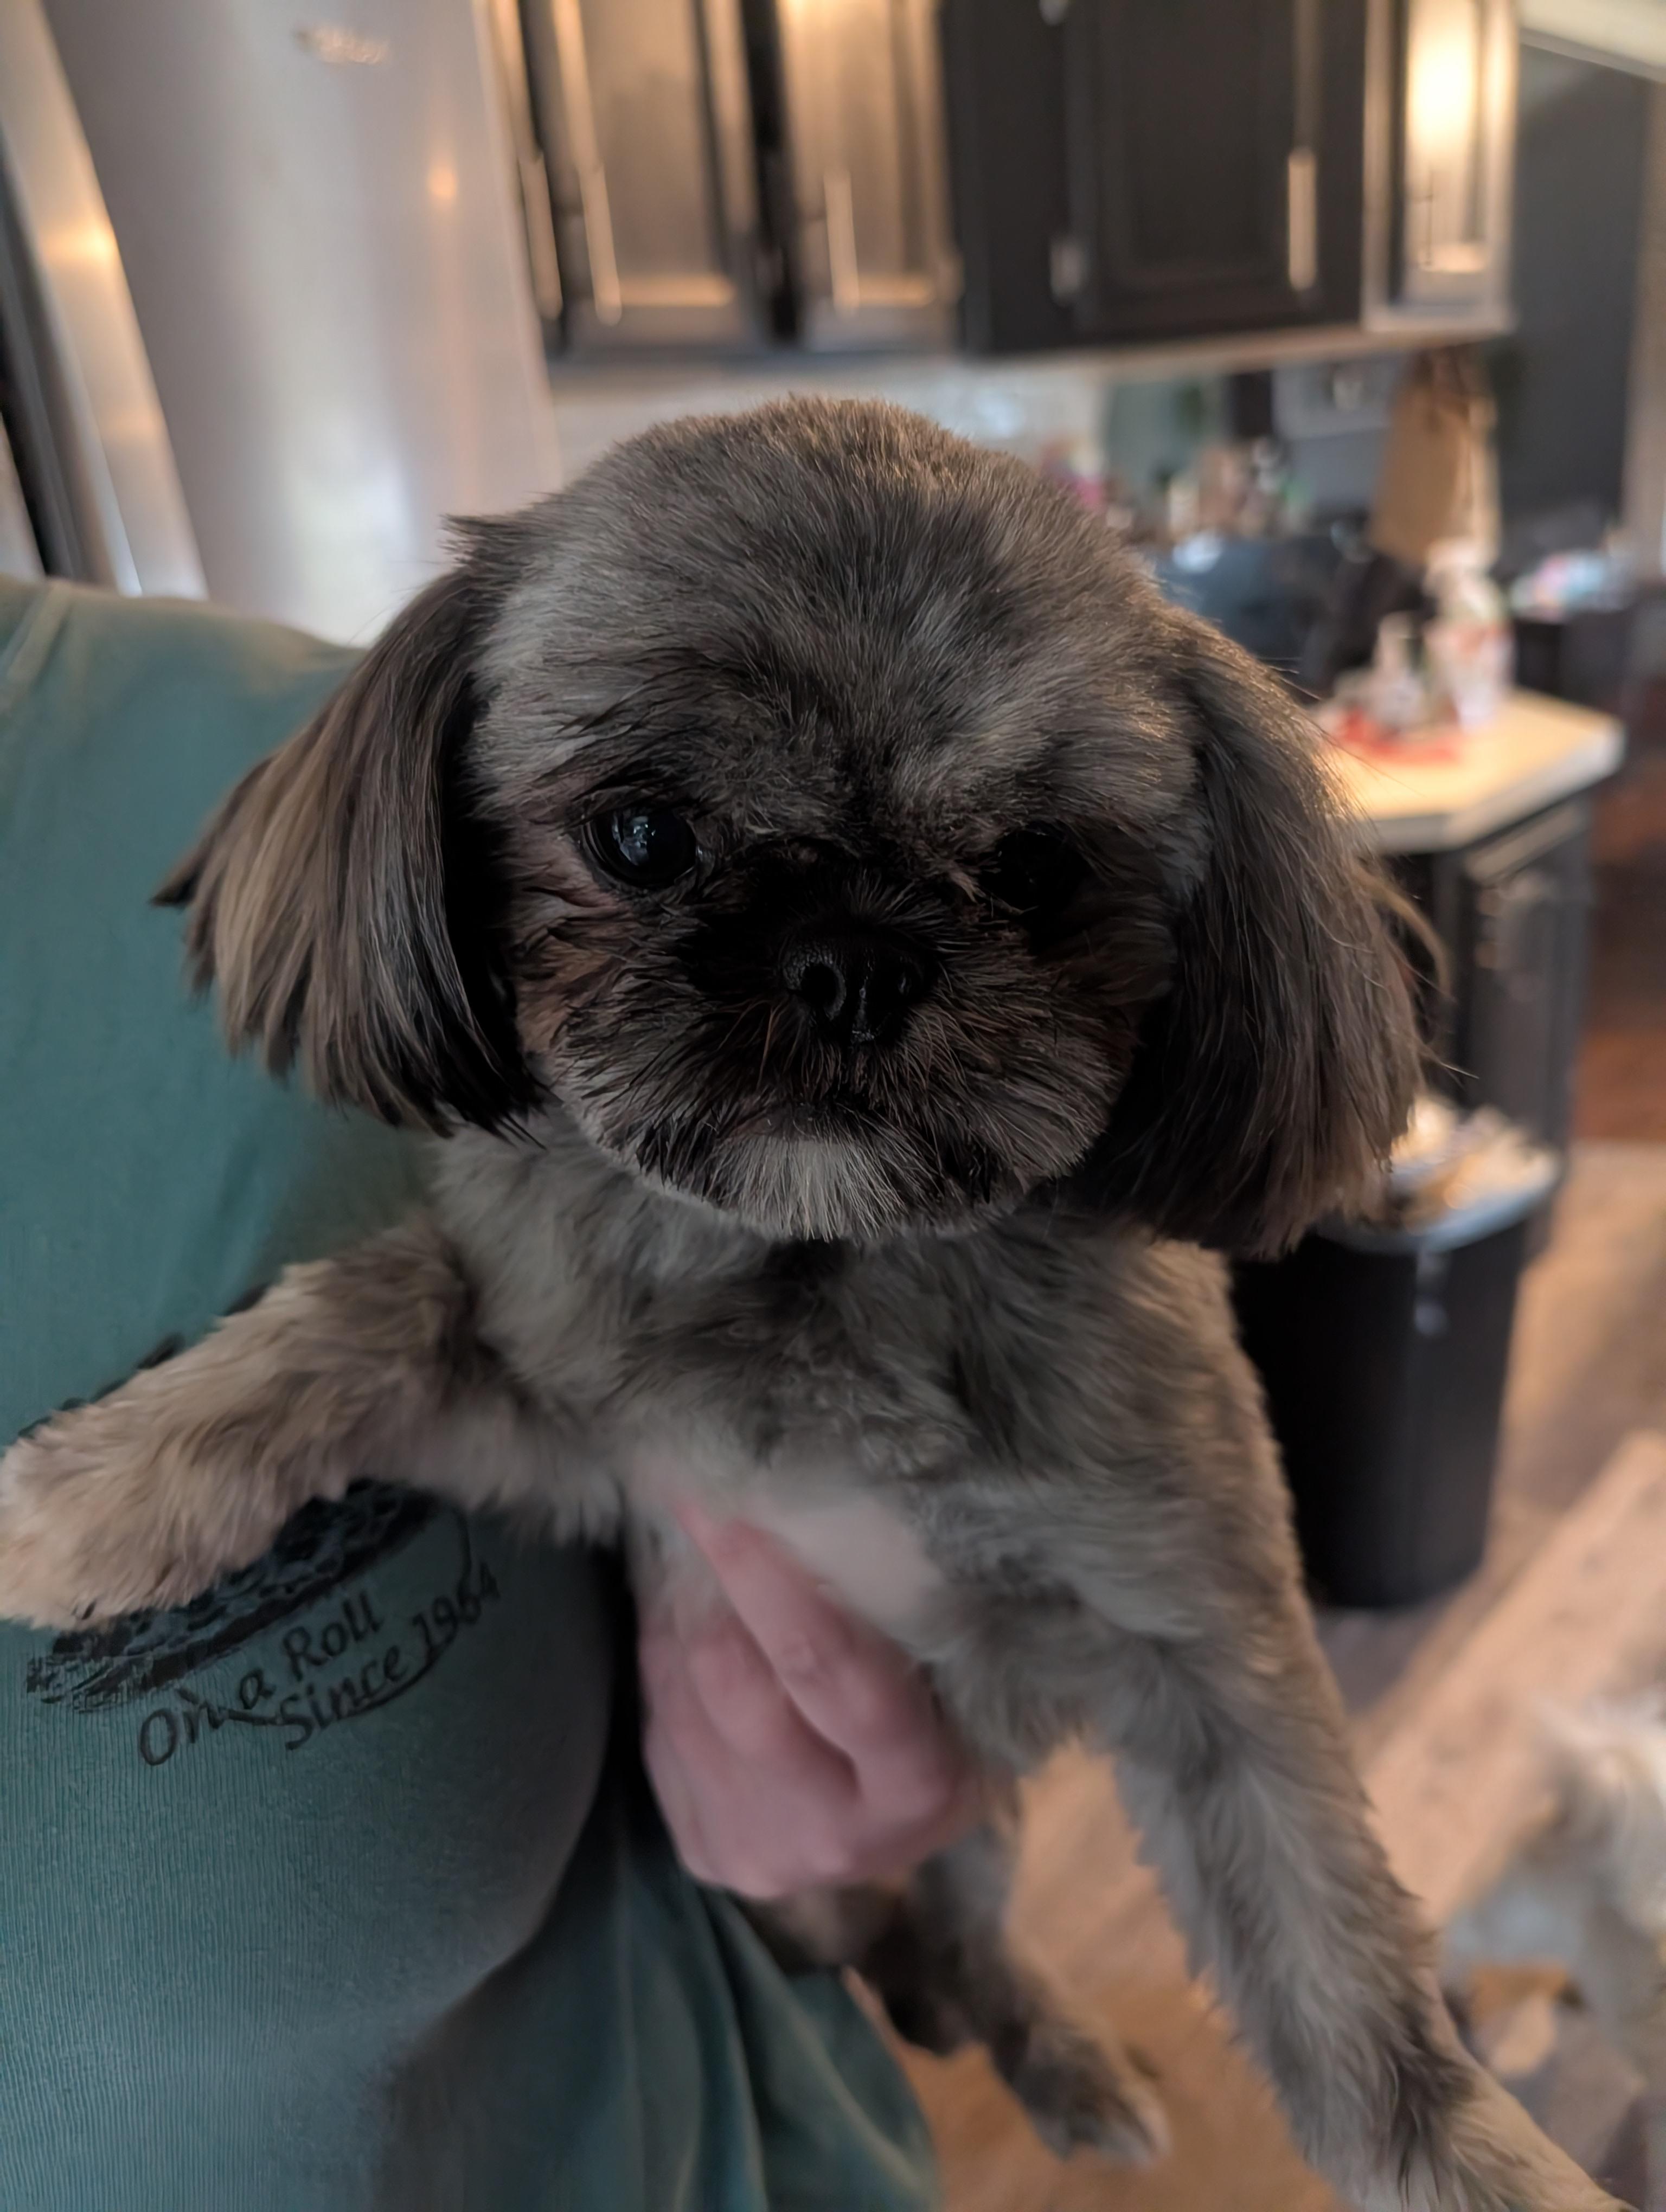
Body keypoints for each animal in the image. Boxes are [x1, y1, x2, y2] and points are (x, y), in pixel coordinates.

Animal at [0, 400, 1620, 2210]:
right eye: (641, 833)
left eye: (1037, 868)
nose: (855, 957)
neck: (822, 1273)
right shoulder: (589, 1438)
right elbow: (369, 1311)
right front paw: (96, 1497)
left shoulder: (1201, 1645)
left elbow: (1347, 1985)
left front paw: (1477, 2165)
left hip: (980, 1821)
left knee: (964, 1945)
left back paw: (1057, 2054)